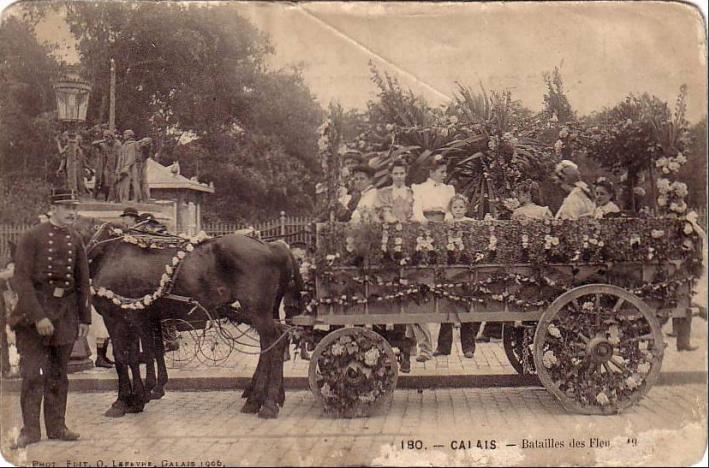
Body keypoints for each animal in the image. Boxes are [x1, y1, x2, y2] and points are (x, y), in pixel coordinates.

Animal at [74, 218, 304, 418]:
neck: (108, 251)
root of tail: (273, 247)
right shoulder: (139, 317)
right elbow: (142, 354)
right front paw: (140, 397)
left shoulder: (117, 316)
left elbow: (125, 357)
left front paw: (122, 402)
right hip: (257, 312)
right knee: (275, 340)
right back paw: (260, 398)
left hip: (256, 311)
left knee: (274, 342)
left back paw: (267, 403)